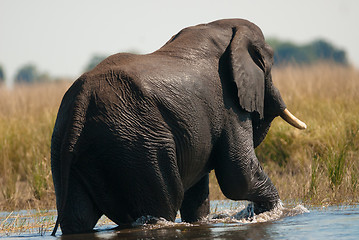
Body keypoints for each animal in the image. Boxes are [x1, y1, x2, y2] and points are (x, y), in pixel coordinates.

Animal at [50, 18, 306, 234]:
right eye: (270, 62)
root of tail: (81, 102)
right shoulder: (228, 105)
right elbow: (238, 175)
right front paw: (274, 213)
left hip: (65, 146)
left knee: (77, 219)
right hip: (138, 146)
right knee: (160, 207)